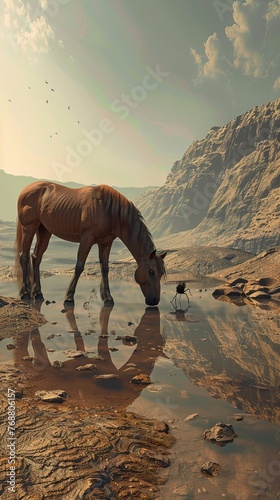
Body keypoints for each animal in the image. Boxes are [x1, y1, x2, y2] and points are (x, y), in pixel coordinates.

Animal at [14, 183, 166, 304]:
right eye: (151, 271)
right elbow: (79, 266)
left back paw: (38, 294)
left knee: (36, 257)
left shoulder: (105, 243)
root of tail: (25, 190)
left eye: (161, 273)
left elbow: (105, 268)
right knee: (24, 256)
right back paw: (25, 294)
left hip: (44, 231)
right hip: (29, 228)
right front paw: (69, 297)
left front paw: (107, 298)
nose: (154, 301)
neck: (108, 210)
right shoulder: (87, 239)